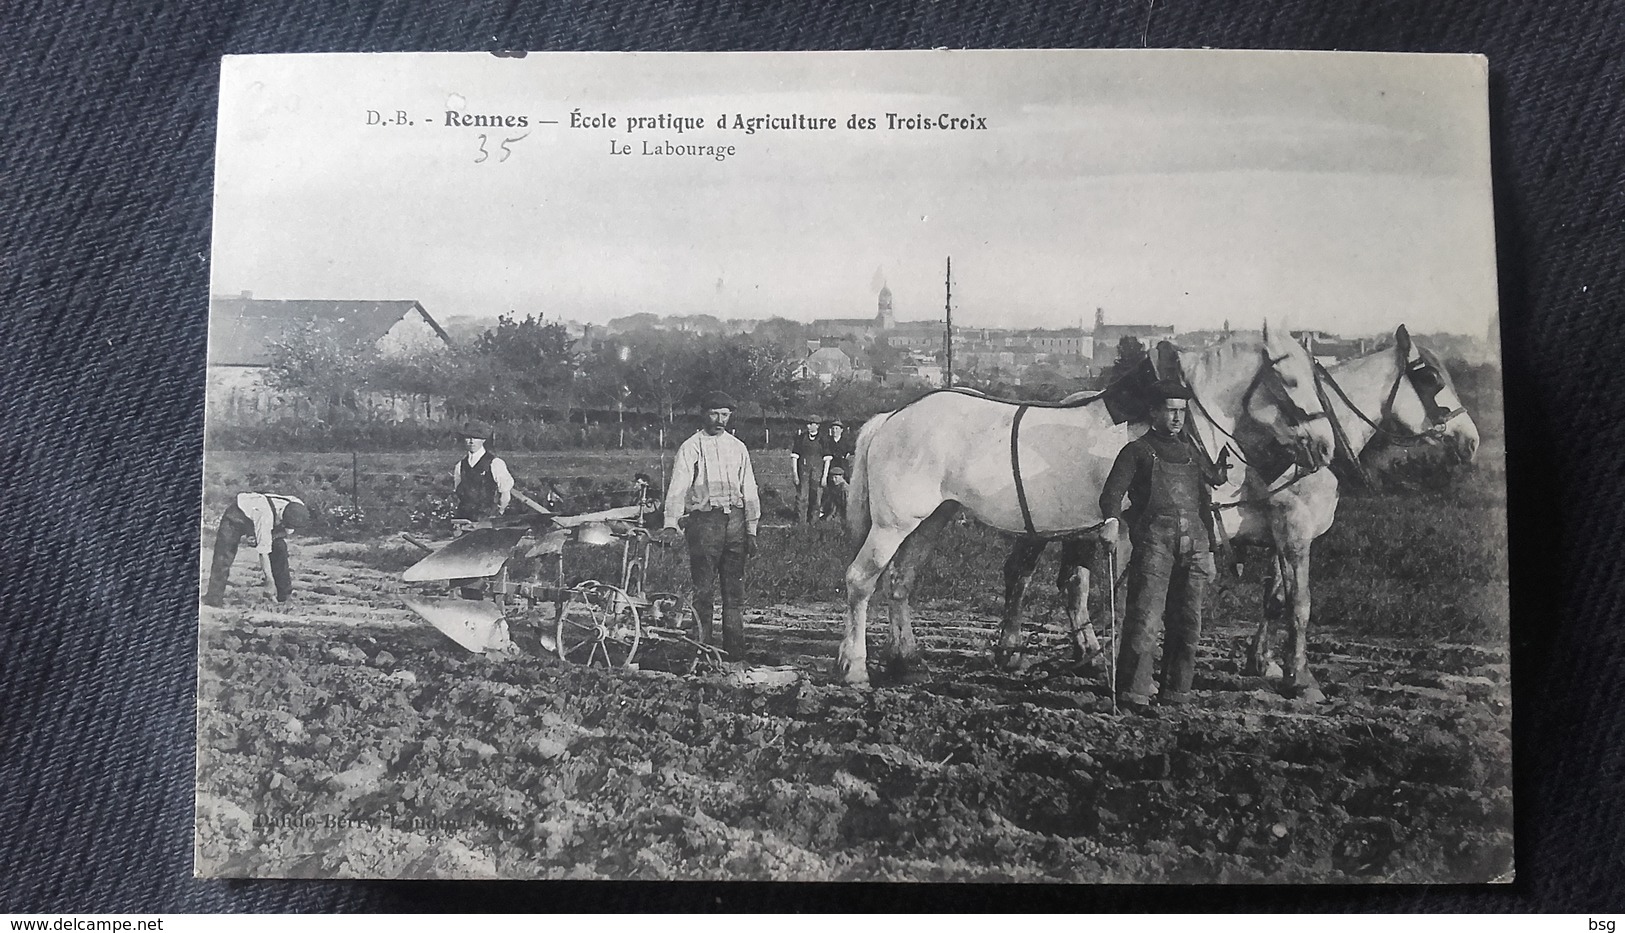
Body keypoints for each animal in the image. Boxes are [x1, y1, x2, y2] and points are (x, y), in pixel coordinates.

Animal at [838, 326, 1332, 689]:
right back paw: (855, 667)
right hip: (893, 523)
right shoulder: (1131, 530)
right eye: (1290, 380)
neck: (1176, 424)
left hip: (932, 519)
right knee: (861, 580)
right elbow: (1126, 599)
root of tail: (891, 419)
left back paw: (907, 660)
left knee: (900, 581)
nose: (1324, 447)